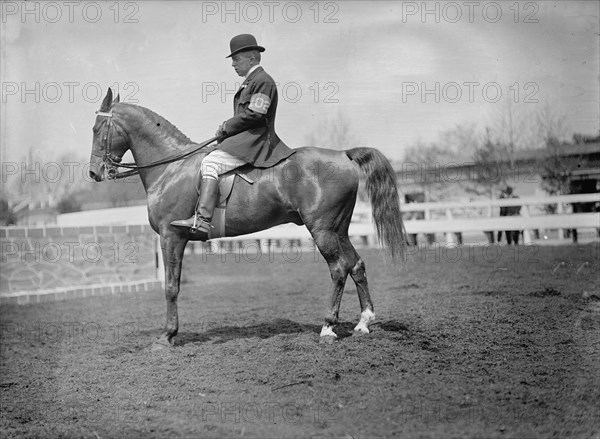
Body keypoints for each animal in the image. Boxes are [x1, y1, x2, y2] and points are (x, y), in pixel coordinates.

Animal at [89, 90, 406, 350]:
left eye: (97, 129)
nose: (94, 173)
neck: (171, 167)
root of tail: (343, 154)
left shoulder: (171, 236)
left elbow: (170, 287)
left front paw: (167, 336)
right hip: (339, 229)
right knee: (356, 265)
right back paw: (363, 322)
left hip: (323, 230)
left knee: (339, 269)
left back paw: (327, 327)